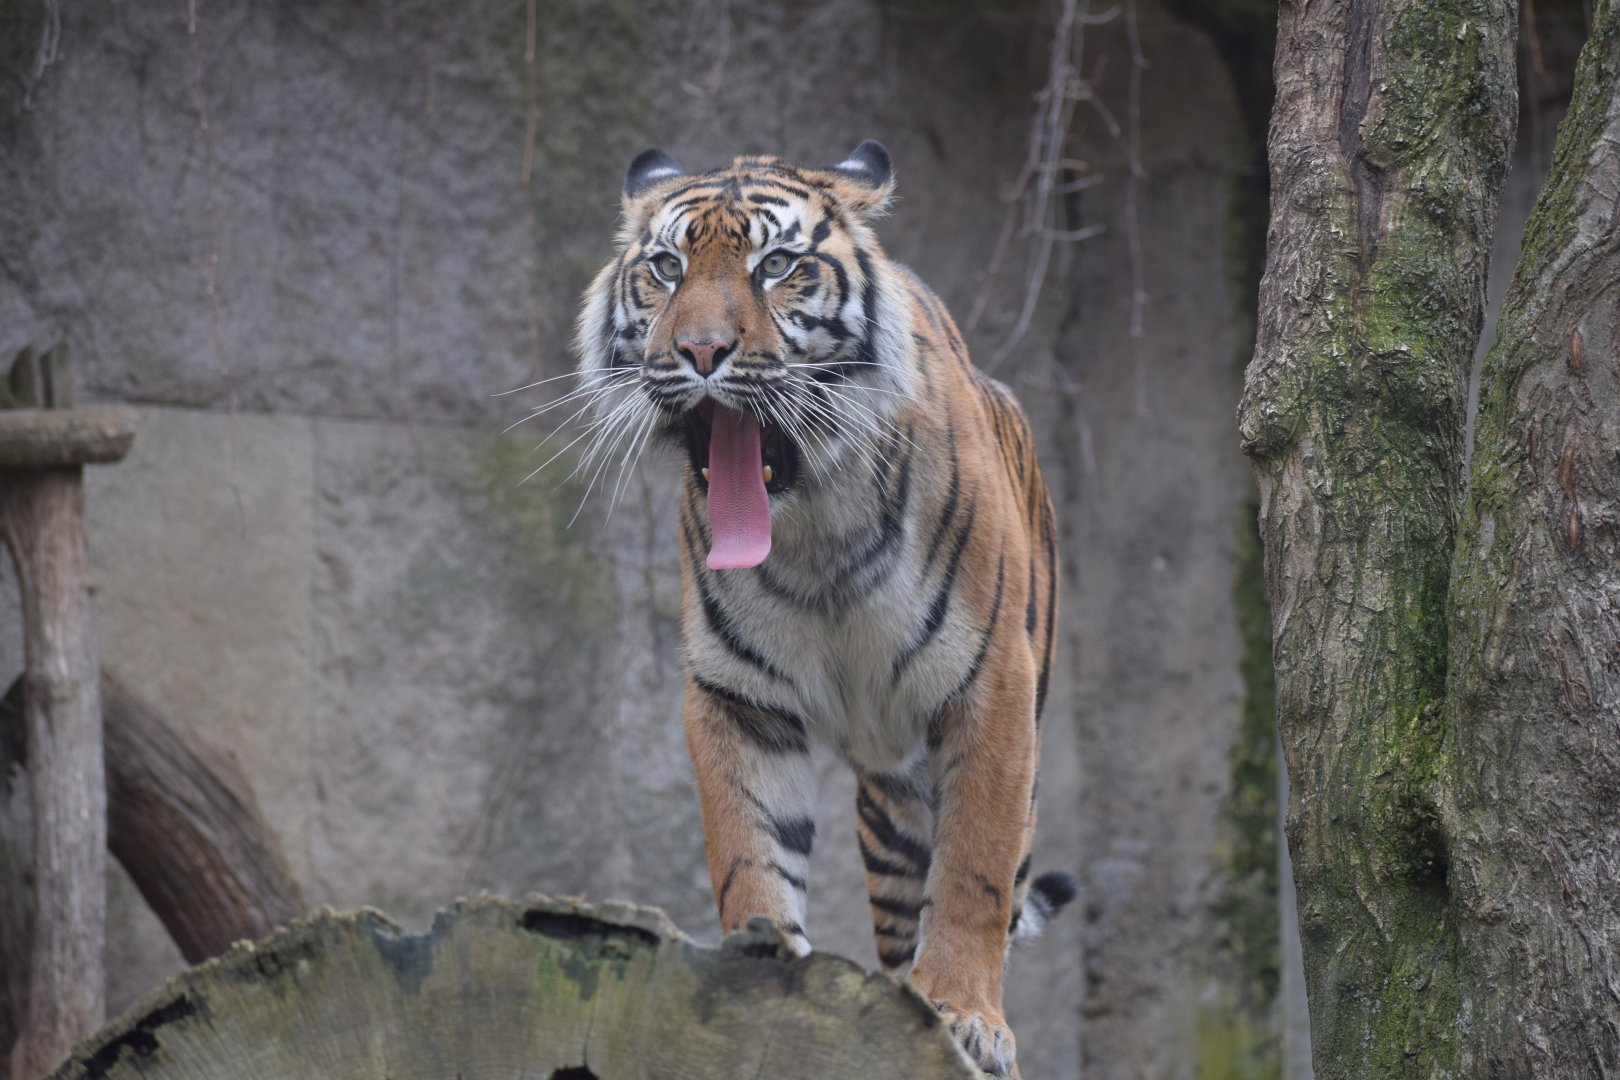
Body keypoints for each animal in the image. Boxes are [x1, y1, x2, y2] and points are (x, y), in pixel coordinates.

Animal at [572, 140, 1075, 1077]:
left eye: (776, 267)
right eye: (666, 268)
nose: (700, 351)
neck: (812, 534)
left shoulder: (990, 688)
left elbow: (975, 870)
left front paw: (966, 1014)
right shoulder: (736, 696)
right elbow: (749, 850)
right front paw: (759, 978)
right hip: (890, 805)